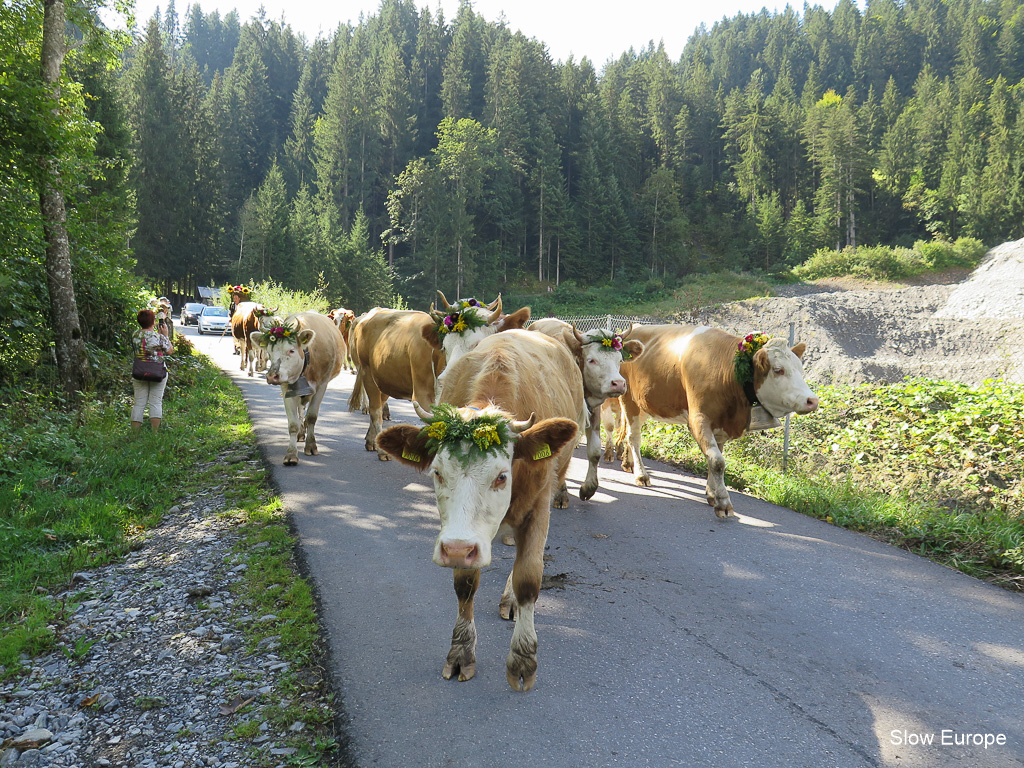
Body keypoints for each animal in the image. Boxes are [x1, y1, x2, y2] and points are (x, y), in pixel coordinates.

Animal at [249, 313, 346, 468]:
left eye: (291, 350)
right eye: (269, 351)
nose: (272, 376)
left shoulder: (322, 386)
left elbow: (311, 417)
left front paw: (311, 446)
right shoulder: (286, 388)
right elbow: (293, 424)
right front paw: (291, 454)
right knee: (301, 408)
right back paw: (301, 432)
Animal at [376, 331, 585, 692]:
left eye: (502, 476)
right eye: (437, 473)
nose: (458, 549)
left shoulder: (538, 505)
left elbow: (529, 576)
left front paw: (523, 659)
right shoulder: (460, 536)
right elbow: (465, 584)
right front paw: (460, 653)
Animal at [532, 317, 643, 501]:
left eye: (619, 360)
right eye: (592, 360)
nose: (619, 383)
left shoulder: (595, 411)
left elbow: (595, 450)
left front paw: (588, 488)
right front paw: (561, 492)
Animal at [610, 323, 819, 518]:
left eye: (800, 369)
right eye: (778, 370)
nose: (812, 400)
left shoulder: (721, 424)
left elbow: (715, 458)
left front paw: (712, 493)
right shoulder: (698, 419)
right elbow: (718, 461)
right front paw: (723, 501)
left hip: (645, 403)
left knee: (629, 433)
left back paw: (628, 463)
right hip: (629, 399)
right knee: (634, 437)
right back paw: (641, 474)